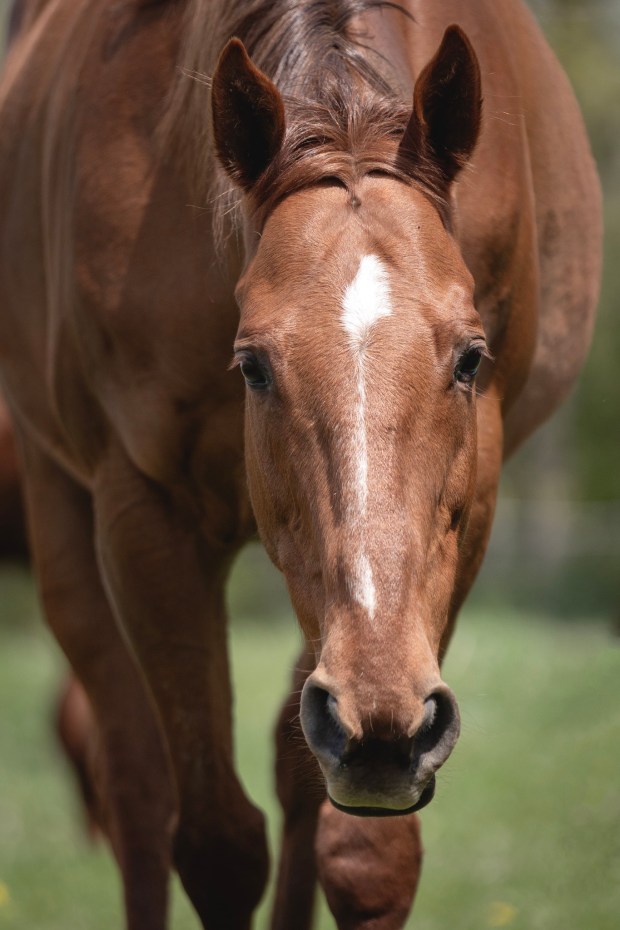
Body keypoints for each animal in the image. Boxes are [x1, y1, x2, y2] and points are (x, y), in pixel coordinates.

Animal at [0, 1, 604, 928]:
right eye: (251, 365)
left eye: (471, 358)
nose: (381, 727)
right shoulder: (143, 511)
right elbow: (216, 844)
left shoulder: (458, 530)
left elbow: (364, 855)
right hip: (65, 514)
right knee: (136, 791)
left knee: (292, 786)